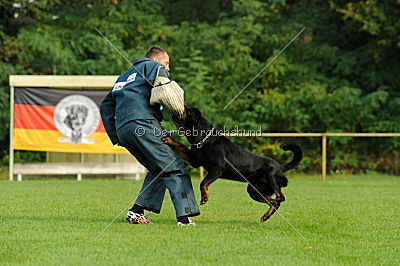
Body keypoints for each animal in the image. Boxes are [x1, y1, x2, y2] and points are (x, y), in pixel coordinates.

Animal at [162, 107, 304, 221]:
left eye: (187, 110)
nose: (177, 108)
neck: (205, 139)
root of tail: (280, 166)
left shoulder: (216, 170)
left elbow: (203, 183)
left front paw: (205, 197)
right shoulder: (194, 161)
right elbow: (181, 145)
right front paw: (170, 139)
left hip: (271, 175)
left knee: (281, 197)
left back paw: (273, 204)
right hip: (254, 190)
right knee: (274, 202)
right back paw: (266, 215)